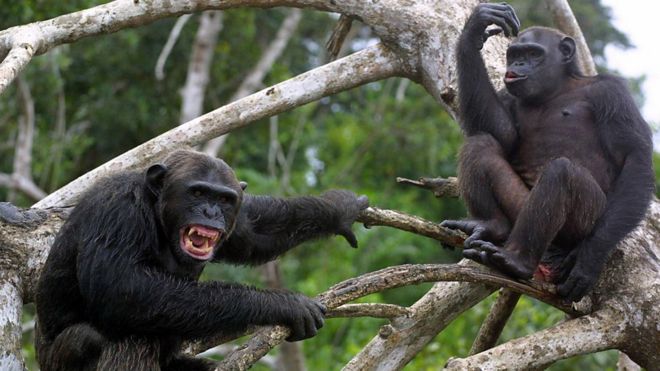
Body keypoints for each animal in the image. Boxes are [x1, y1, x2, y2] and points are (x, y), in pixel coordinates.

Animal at [36, 150, 368, 370]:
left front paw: (338, 209)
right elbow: (120, 288)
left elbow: (255, 232)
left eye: (224, 199)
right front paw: (283, 304)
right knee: (109, 335)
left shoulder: (237, 222)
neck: (159, 215)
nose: (210, 211)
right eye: (197, 192)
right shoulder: (117, 210)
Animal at [444, 2, 656, 302]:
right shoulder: (507, 96)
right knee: (480, 143)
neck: (558, 88)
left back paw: (516, 260)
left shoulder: (612, 94)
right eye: (515, 54)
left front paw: (587, 261)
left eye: (534, 53)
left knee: (562, 173)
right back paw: (492, 225)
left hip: (582, 226)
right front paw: (475, 29)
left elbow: (633, 158)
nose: (518, 65)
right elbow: (503, 134)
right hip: (520, 208)